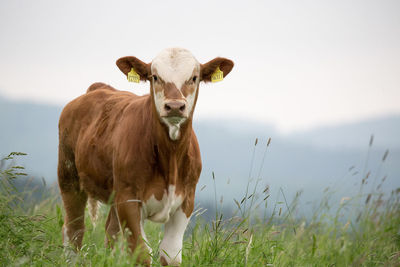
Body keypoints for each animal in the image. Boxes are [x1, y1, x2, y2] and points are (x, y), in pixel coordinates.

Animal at [57, 47, 233, 266]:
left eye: (194, 77)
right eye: (155, 77)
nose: (175, 106)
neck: (170, 159)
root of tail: (99, 88)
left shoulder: (186, 201)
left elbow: (170, 255)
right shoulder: (129, 198)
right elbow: (141, 253)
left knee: (111, 231)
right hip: (68, 176)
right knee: (74, 229)